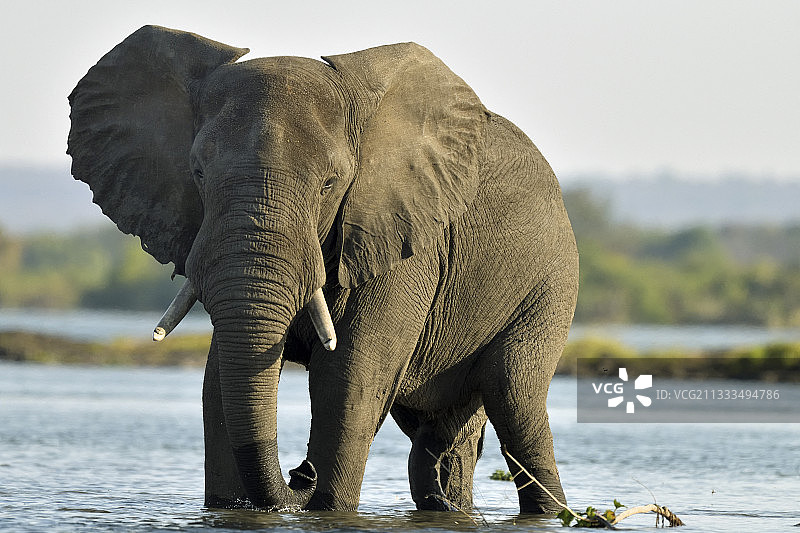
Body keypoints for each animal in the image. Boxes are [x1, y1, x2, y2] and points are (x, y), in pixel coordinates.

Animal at [67, 25, 578, 514]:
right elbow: (216, 384)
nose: (300, 472)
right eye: (197, 172)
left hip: (550, 287)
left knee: (513, 398)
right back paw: (447, 504)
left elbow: (347, 379)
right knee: (440, 434)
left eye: (330, 184)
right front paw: (232, 507)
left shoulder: (401, 237)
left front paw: (325, 504)